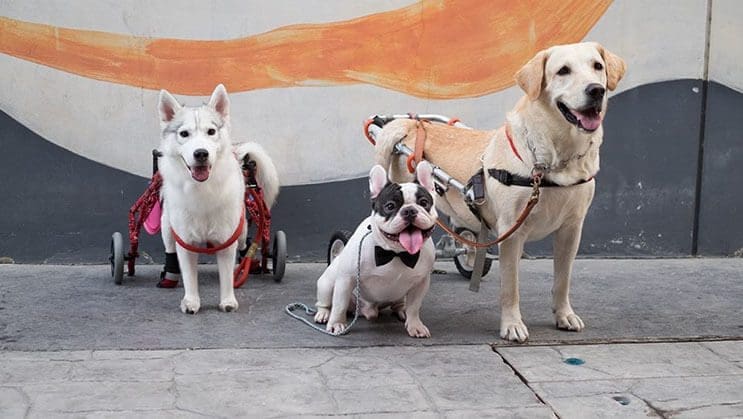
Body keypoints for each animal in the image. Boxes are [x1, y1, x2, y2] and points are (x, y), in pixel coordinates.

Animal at [158, 84, 280, 316]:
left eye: (211, 132)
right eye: (184, 134)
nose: (201, 153)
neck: (202, 189)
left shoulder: (227, 240)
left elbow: (226, 276)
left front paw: (228, 300)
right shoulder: (185, 242)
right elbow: (190, 277)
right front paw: (191, 301)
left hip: (241, 230)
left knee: (243, 247)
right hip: (167, 226)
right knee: (169, 250)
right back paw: (169, 276)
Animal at [374, 42, 624, 342]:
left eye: (598, 66)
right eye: (563, 71)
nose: (596, 90)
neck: (554, 159)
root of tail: (413, 124)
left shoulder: (571, 229)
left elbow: (562, 279)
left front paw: (564, 315)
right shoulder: (511, 232)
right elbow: (510, 286)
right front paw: (512, 324)